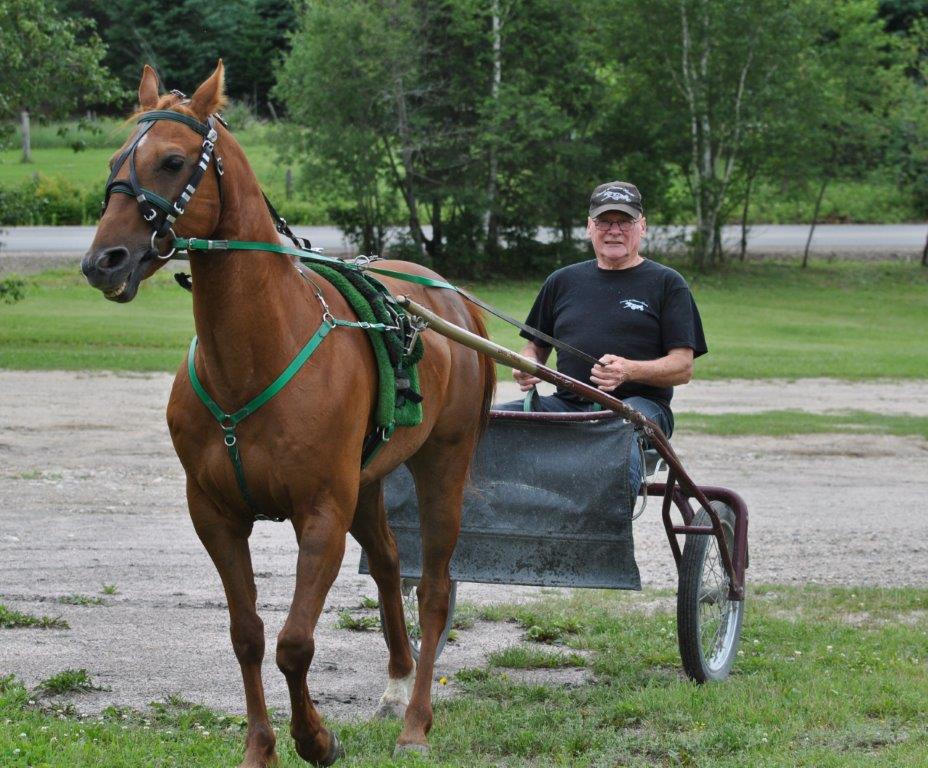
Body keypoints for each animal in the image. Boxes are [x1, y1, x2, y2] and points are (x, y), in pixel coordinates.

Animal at [81, 63, 492, 764]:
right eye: (113, 161)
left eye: (172, 160)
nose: (102, 261)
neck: (252, 358)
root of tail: (448, 299)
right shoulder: (214, 514)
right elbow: (247, 634)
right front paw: (261, 747)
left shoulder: (321, 510)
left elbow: (295, 642)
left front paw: (316, 738)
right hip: (368, 479)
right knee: (389, 563)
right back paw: (396, 683)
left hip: (444, 461)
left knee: (434, 589)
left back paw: (415, 721)